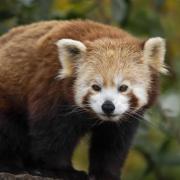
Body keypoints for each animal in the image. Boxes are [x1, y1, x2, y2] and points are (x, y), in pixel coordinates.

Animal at [0, 20, 167, 179]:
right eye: (96, 87)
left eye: (123, 87)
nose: (108, 107)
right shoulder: (52, 92)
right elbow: (52, 136)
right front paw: (61, 170)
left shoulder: (123, 121)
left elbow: (112, 144)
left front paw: (105, 174)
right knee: (9, 131)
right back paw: (12, 165)